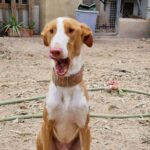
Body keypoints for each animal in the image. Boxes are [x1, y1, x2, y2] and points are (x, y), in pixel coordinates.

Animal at [36, 17, 92, 149]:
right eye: (51, 31)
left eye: (71, 30)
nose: (55, 51)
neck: (66, 85)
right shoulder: (47, 126)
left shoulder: (84, 128)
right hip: (40, 134)